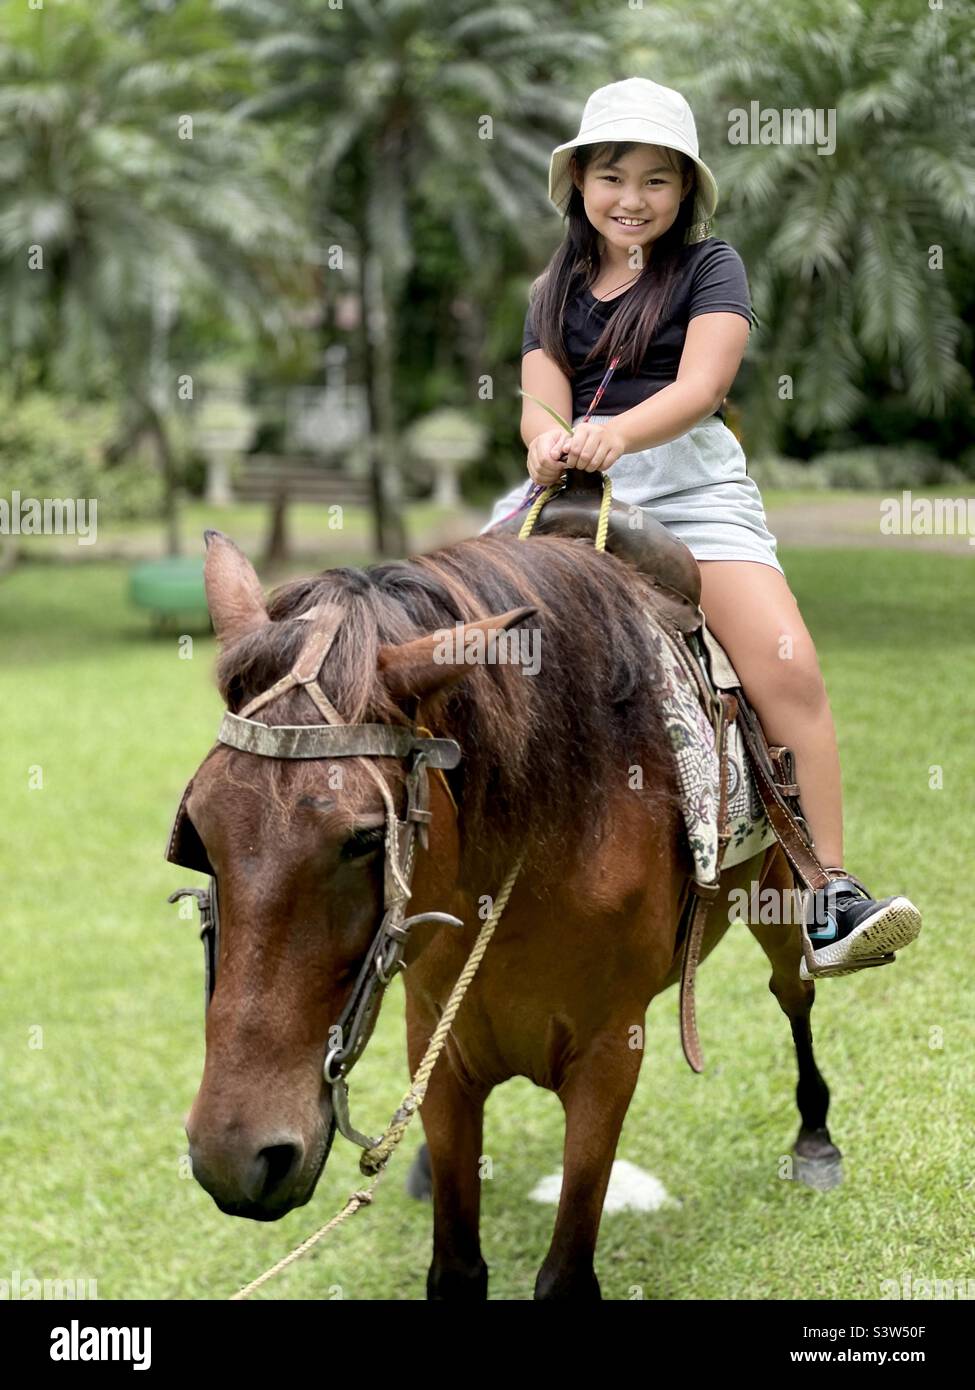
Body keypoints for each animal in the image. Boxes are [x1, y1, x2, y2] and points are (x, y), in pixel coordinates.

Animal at [186, 525, 840, 1295]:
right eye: (197, 831)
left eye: (366, 838)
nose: (235, 1154)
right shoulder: (435, 1040)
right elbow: (456, 1267)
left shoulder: (608, 1055)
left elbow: (564, 1275)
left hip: (779, 893)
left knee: (793, 989)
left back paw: (815, 1134)